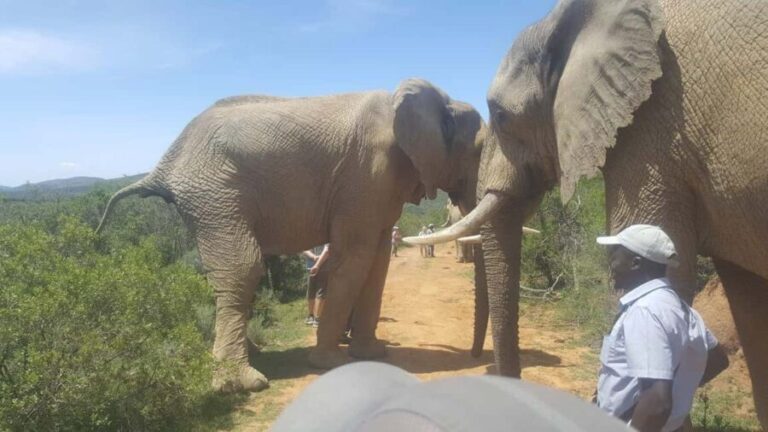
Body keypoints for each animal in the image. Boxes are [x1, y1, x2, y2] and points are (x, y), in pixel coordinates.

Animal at [96, 78, 487, 393]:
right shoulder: (366, 175)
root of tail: (164, 166)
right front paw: (330, 363)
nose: (475, 356)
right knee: (244, 267)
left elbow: (377, 262)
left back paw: (252, 356)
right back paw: (244, 383)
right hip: (214, 194)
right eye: (481, 149)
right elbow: (354, 257)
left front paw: (373, 353)